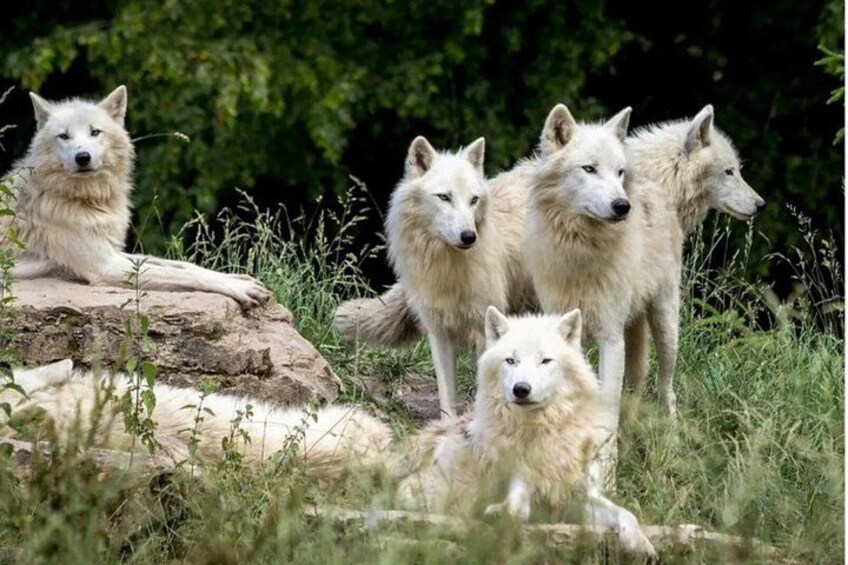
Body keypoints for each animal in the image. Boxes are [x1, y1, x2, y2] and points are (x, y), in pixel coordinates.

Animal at [2, 86, 272, 309]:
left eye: (95, 132)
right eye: (64, 136)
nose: (83, 157)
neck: (87, 201)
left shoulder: (115, 253)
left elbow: (182, 265)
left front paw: (237, 277)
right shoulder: (107, 266)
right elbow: (182, 273)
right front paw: (240, 288)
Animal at [395, 307, 656, 556]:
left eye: (545, 361)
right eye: (511, 361)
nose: (521, 389)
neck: (543, 430)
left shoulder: (579, 496)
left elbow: (626, 514)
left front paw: (641, 544)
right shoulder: (520, 480)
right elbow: (518, 506)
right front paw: (501, 513)